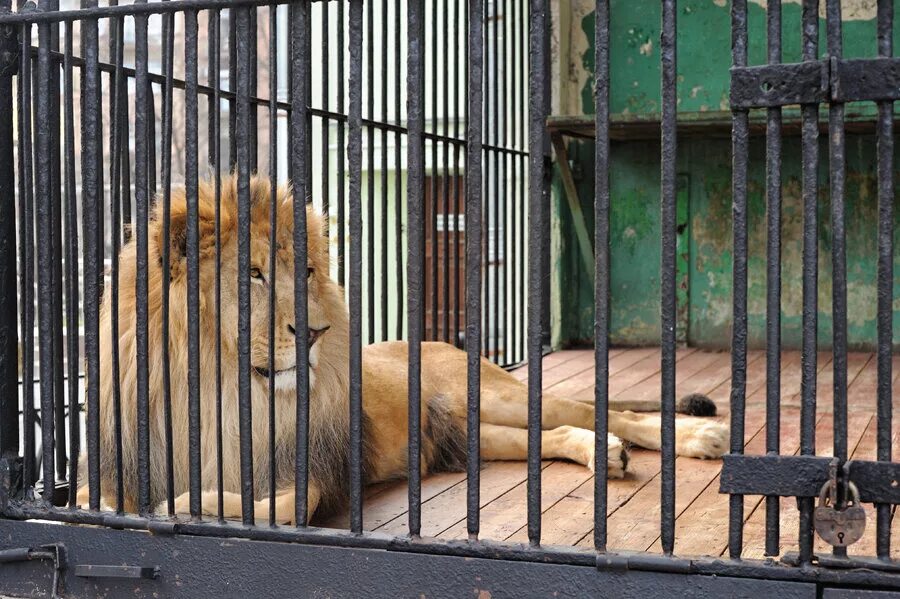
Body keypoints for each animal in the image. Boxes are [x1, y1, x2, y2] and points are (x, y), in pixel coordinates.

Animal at [74, 175, 728, 524]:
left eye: (305, 272)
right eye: (253, 275)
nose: (315, 332)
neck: (223, 389)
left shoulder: (313, 475)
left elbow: (269, 506)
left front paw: (183, 504)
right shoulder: (119, 465)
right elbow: (89, 500)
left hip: (496, 397)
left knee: (599, 410)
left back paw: (698, 438)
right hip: (467, 431)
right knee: (560, 433)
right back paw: (603, 454)